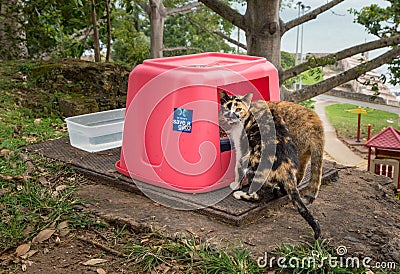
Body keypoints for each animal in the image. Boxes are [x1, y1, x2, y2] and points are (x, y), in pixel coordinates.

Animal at [220, 91, 320, 239]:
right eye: (228, 108)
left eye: (238, 109)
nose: (232, 116)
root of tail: (286, 169)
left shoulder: (242, 149)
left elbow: (237, 167)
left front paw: (236, 185)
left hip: (253, 163)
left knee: (256, 196)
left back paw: (240, 194)